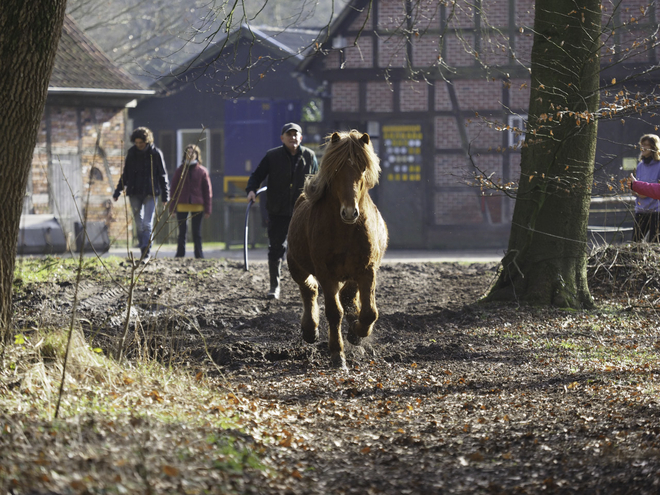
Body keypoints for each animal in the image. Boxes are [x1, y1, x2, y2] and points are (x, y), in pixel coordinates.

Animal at [288, 131, 386, 368]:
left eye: (362, 168)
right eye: (336, 170)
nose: (350, 212)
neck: (346, 231)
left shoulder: (367, 271)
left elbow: (369, 312)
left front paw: (356, 333)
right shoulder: (327, 274)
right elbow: (334, 312)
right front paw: (337, 354)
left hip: (351, 275)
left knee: (347, 297)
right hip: (297, 267)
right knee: (309, 289)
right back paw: (310, 330)